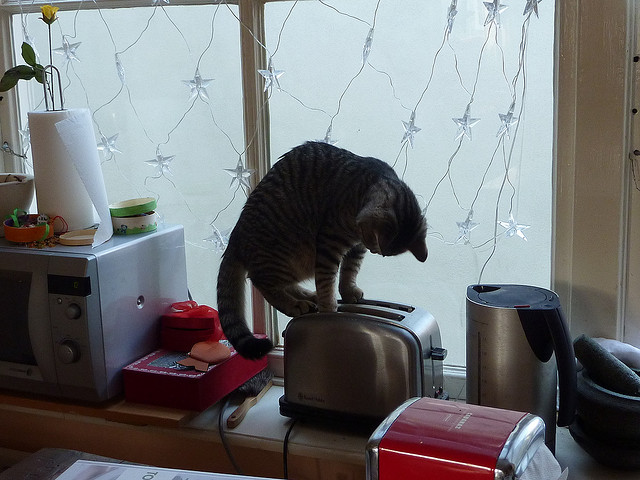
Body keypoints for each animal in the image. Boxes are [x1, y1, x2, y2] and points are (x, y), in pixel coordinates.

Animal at [217, 141, 428, 359]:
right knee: (262, 281)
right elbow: (328, 280)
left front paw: (346, 291)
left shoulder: (356, 248)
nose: (376, 250)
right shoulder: (330, 243)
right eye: (374, 242)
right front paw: (329, 310)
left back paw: (309, 296)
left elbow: (349, 271)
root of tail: (235, 236)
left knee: (284, 283)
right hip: (289, 254)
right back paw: (294, 303)